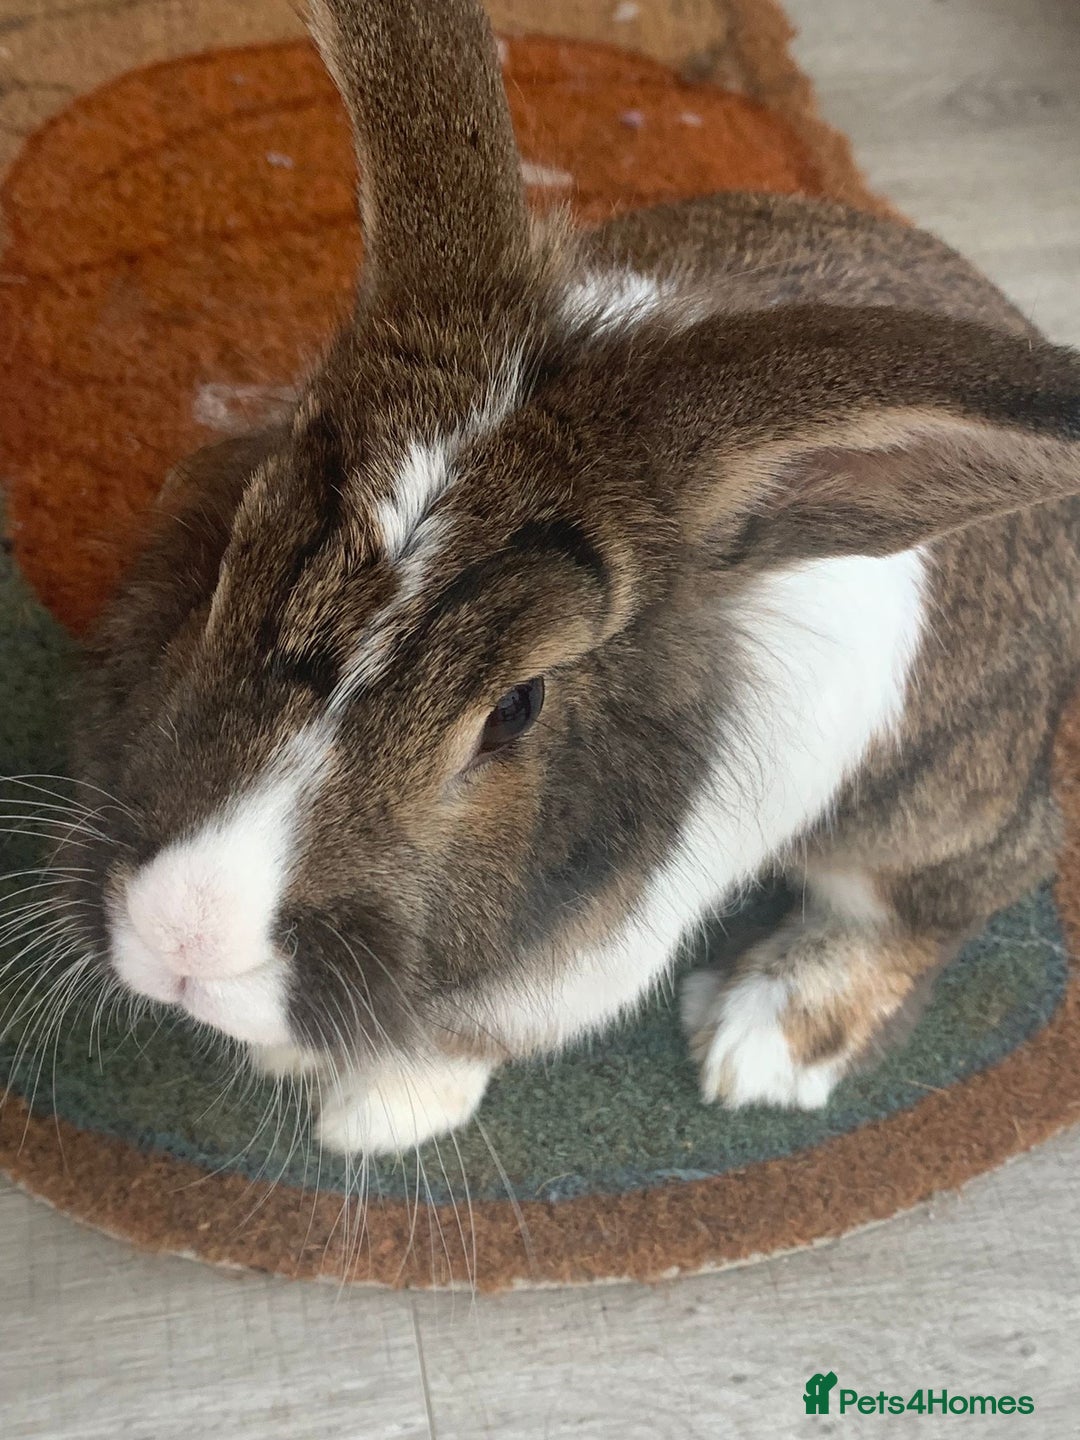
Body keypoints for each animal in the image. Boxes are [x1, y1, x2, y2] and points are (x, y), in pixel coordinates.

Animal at [56, 0, 1080, 1157]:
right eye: (234, 550)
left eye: (518, 707)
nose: (184, 935)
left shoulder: (594, 951)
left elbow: (468, 1040)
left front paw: (374, 1114)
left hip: (925, 796)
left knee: (975, 875)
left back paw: (764, 1036)